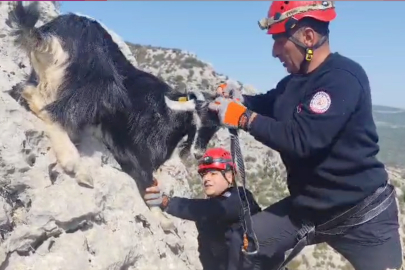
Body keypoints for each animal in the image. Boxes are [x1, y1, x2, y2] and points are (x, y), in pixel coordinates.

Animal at [6, 1, 219, 230]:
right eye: (198, 118)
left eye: (217, 126)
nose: (198, 154)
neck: (168, 112)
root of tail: (51, 36)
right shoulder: (137, 150)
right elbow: (147, 179)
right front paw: (164, 220)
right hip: (100, 83)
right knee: (53, 110)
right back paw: (76, 165)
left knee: (31, 93)